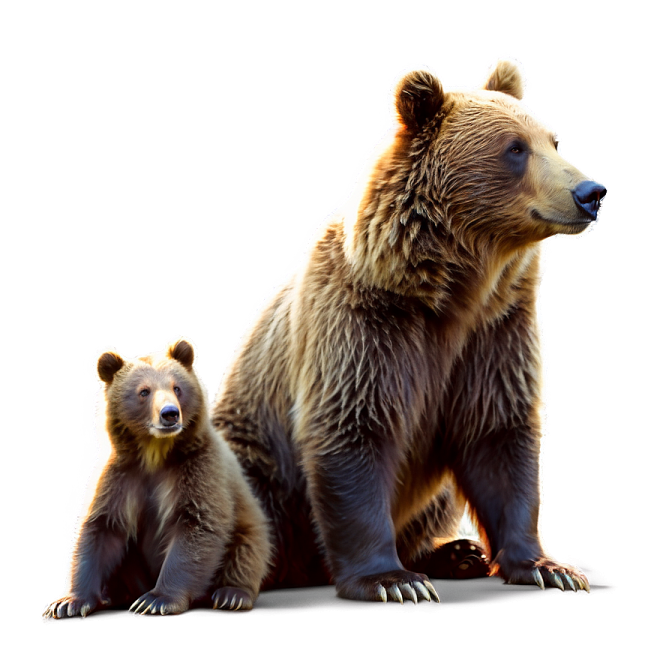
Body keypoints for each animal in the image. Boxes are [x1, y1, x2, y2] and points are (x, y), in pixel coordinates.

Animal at [42, 336, 271, 618]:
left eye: (177, 388)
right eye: (144, 391)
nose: (170, 413)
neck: (155, 452)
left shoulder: (197, 470)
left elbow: (197, 526)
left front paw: (156, 600)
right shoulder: (121, 476)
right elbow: (101, 528)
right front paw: (66, 602)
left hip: (249, 528)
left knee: (246, 548)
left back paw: (231, 594)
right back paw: (112, 596)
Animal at [211, 55, 607, 604]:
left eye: (553, 140)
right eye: (515, 148)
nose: (590, 192)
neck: (451, 288)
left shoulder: (495, 328)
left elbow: (499, 433)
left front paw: (549, 568)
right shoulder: (366, 323)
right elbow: (355, 429)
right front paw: (394, 581)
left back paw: (457, 553)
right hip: (252, 454)